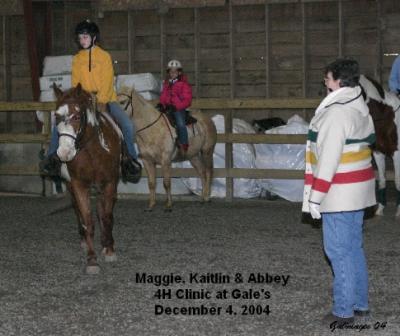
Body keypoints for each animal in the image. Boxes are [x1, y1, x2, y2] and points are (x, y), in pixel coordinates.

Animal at [53, 83, 122, 272]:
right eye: (56, 116)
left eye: (77, 115)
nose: (64, 153)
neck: (93, 152)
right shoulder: (78, 184)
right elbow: (87, 220)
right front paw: (92, 260)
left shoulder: (109, 182)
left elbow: (106, 216)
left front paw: (109, 250)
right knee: (78, 210)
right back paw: (85, 241)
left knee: (102, 210)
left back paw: (106, 243)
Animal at [358, 75, 400, 215]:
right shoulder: (378, 152)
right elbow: (381, 180)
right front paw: (380, 209)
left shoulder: (397, 154)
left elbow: (398, 181)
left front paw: (399, 212)